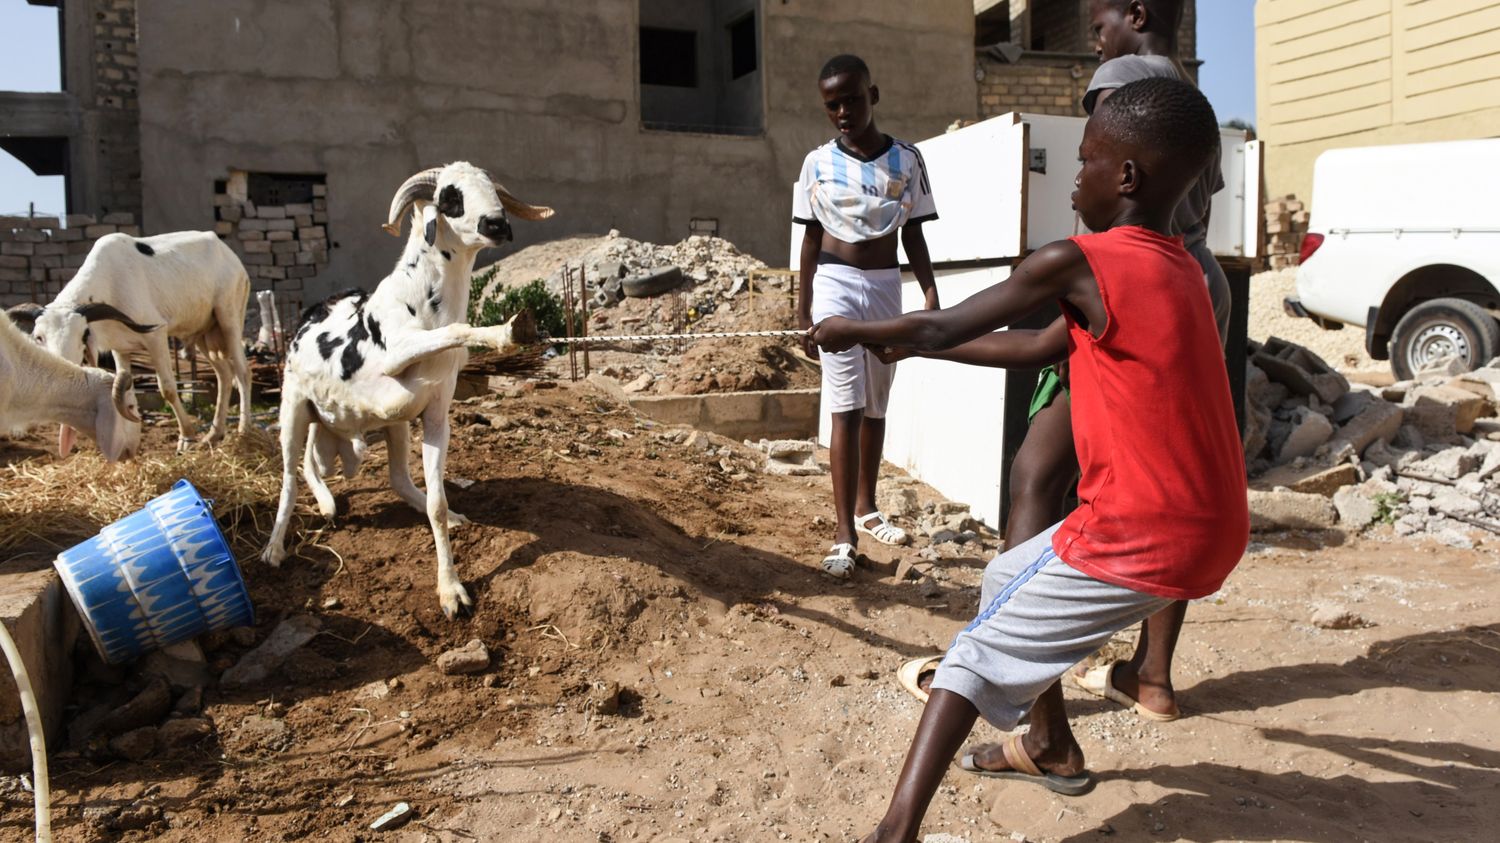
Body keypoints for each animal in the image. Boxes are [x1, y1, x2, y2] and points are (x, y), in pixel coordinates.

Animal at [16, 231, 255, 447]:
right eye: (38, 337)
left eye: (82, 336)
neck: (110, 283)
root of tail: (232, 257)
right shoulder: (120, 348)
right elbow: (126, 394)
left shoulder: (156, 336)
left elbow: (168, 389)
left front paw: (186, 436)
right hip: (202, 332)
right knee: (224, 374)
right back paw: (214, 435)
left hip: (228, 318)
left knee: (242, 372)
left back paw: (243, 432)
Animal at [261, 160, 555, 615]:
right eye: (449, 197)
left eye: (493, 191)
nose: (497, 224)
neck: (426, 300)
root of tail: (310, 313)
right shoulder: (396, 354)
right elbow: (455, 330)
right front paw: (507, 332)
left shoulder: (435, 417)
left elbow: (437, 502)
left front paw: (450, 590)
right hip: (293, 407)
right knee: (291, 477)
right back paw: (275, 548)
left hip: (386, 425)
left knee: (385, 477)